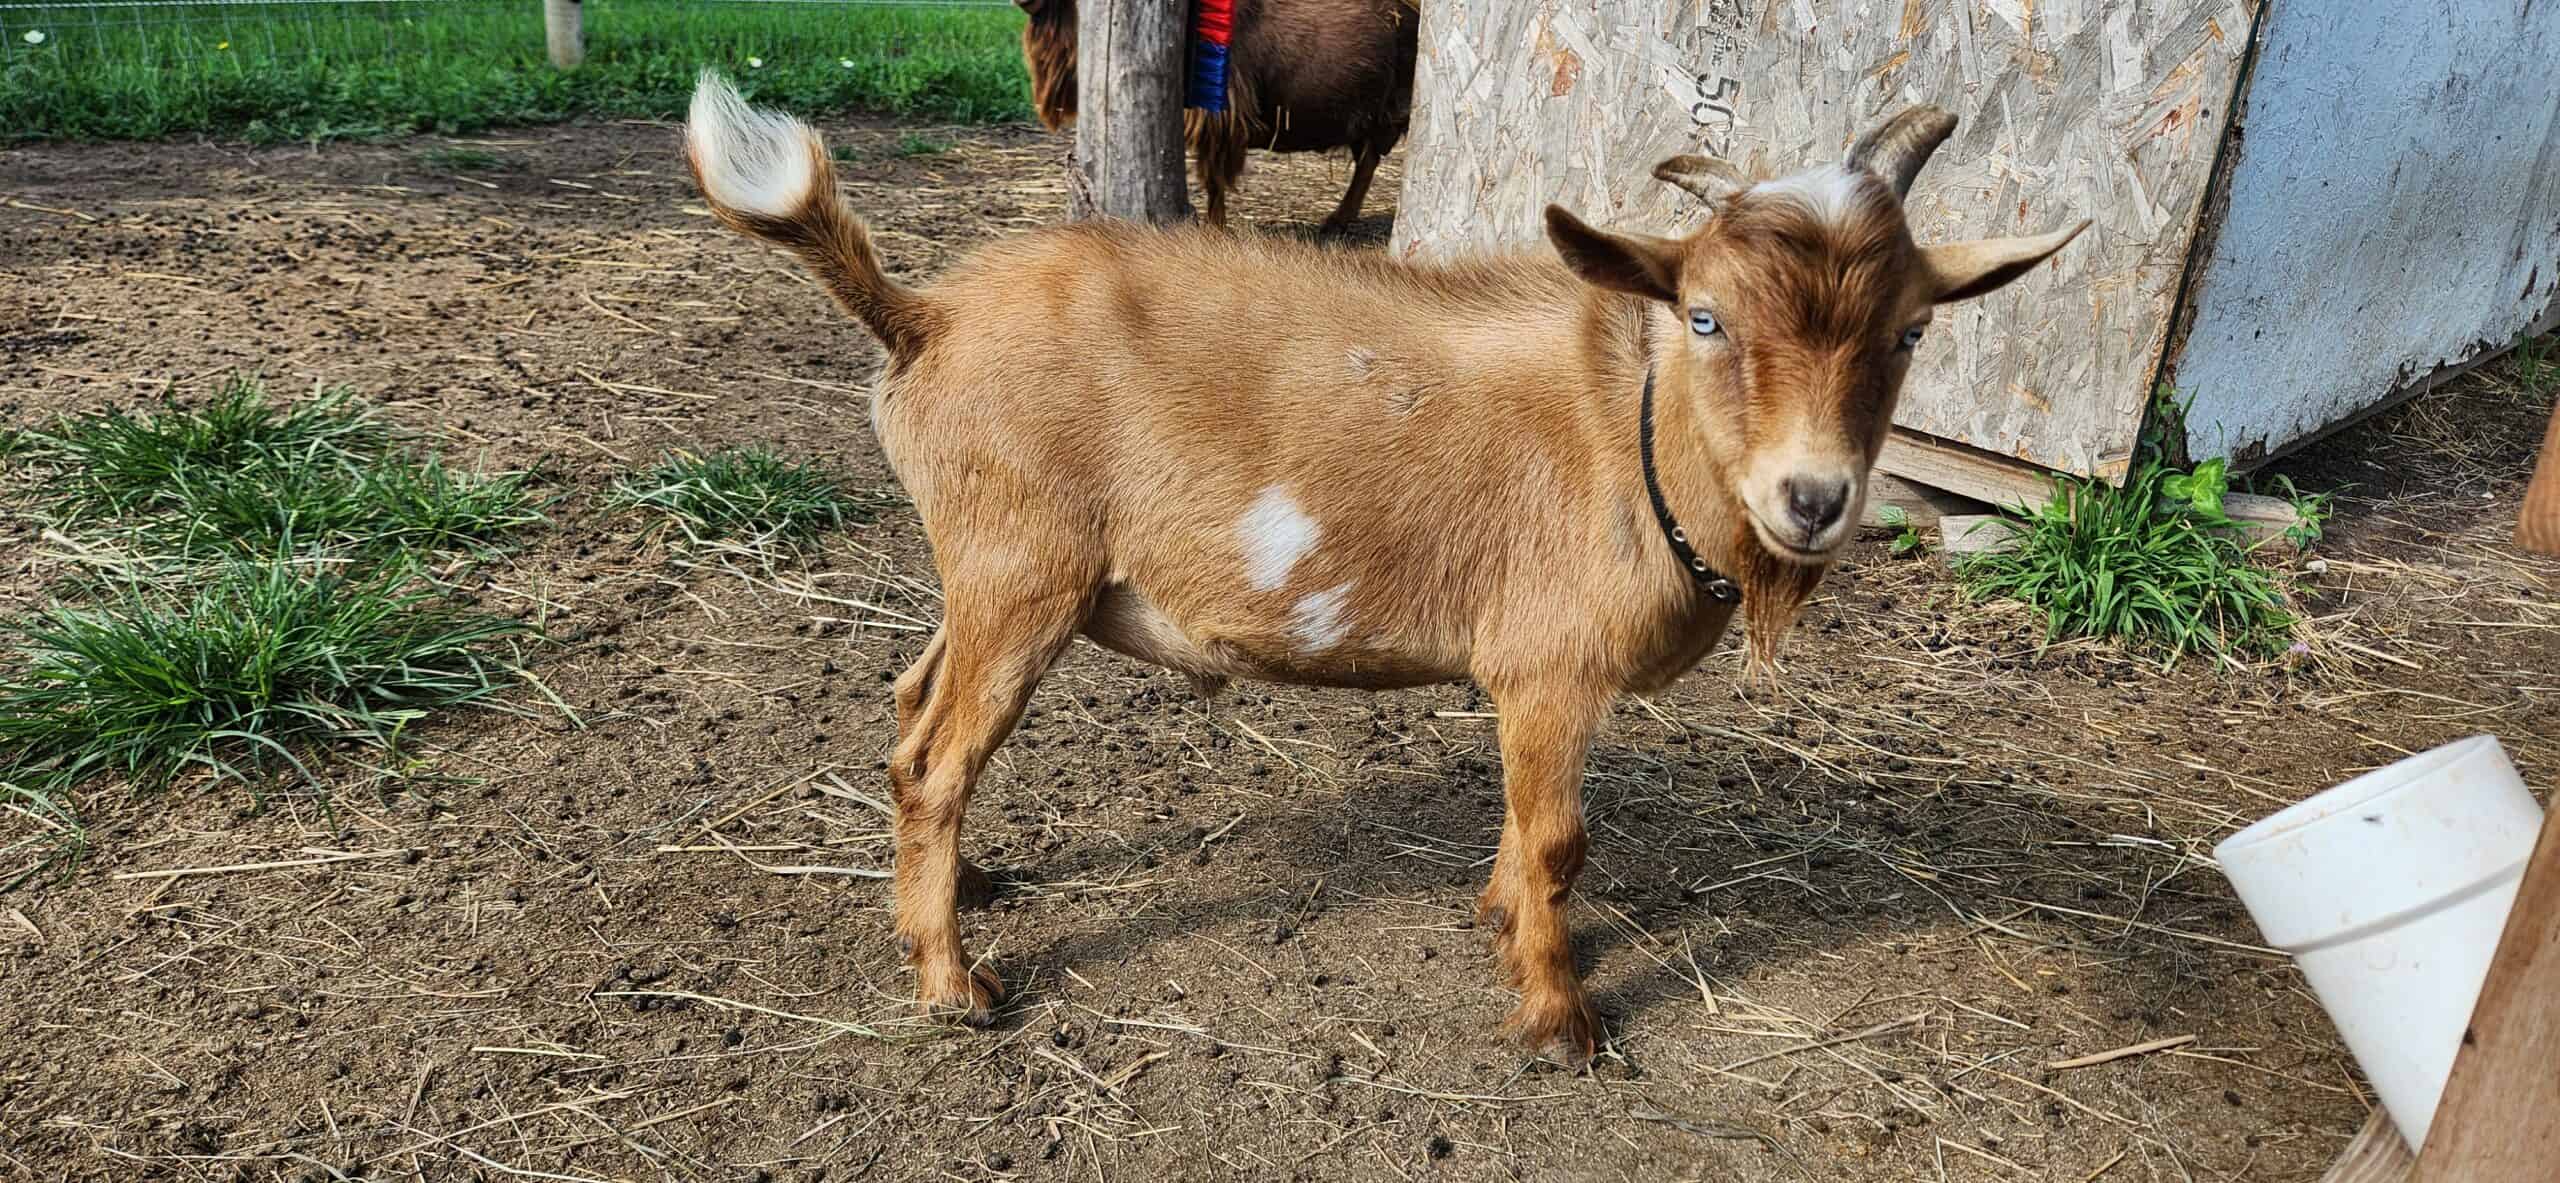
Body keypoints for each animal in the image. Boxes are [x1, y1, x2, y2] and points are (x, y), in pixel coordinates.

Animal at [680, 71, 2078, 1065]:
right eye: (1704, 317)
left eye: (1911, 332)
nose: (1814, 499)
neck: (1628, 437)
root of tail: (924, 317)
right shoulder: (1548, 665)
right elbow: (1560, 839)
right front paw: (1559, 1021)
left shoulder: (1535, 682)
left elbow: (1523, 832)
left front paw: (1497, 925)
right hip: (1024, 567)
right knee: (936, 756)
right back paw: (951, 982)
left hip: (985, 569)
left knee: (914, 709)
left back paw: (955, 887)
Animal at [1018, 0, 1423, 233]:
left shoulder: (1221, 115)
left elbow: (1214, 180)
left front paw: (1215, 227)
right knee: (1367, 160)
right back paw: (1340, 218)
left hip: (1390, 107)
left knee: (1370, 161)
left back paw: (1339, 219)